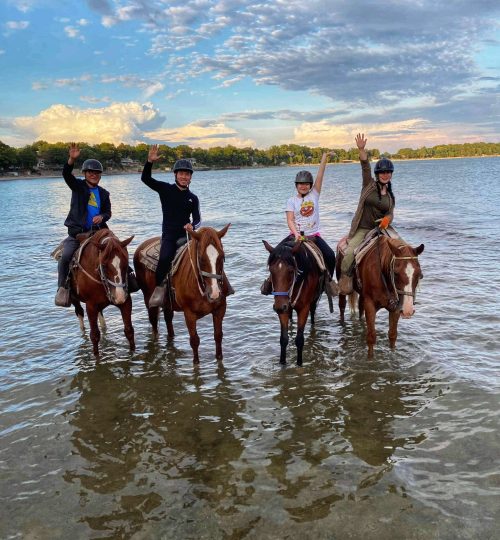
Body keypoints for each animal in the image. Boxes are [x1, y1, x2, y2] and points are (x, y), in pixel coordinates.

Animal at [135, 224, 232, 362]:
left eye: (221, 256)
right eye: (201, 259)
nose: (214, 294)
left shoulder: (220, 309)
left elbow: (218, 336)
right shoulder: (189, 314)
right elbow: (194, 341)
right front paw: (196, 364)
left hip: (167, 304)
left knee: (168, 320)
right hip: (148, 299)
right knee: (154, 324)